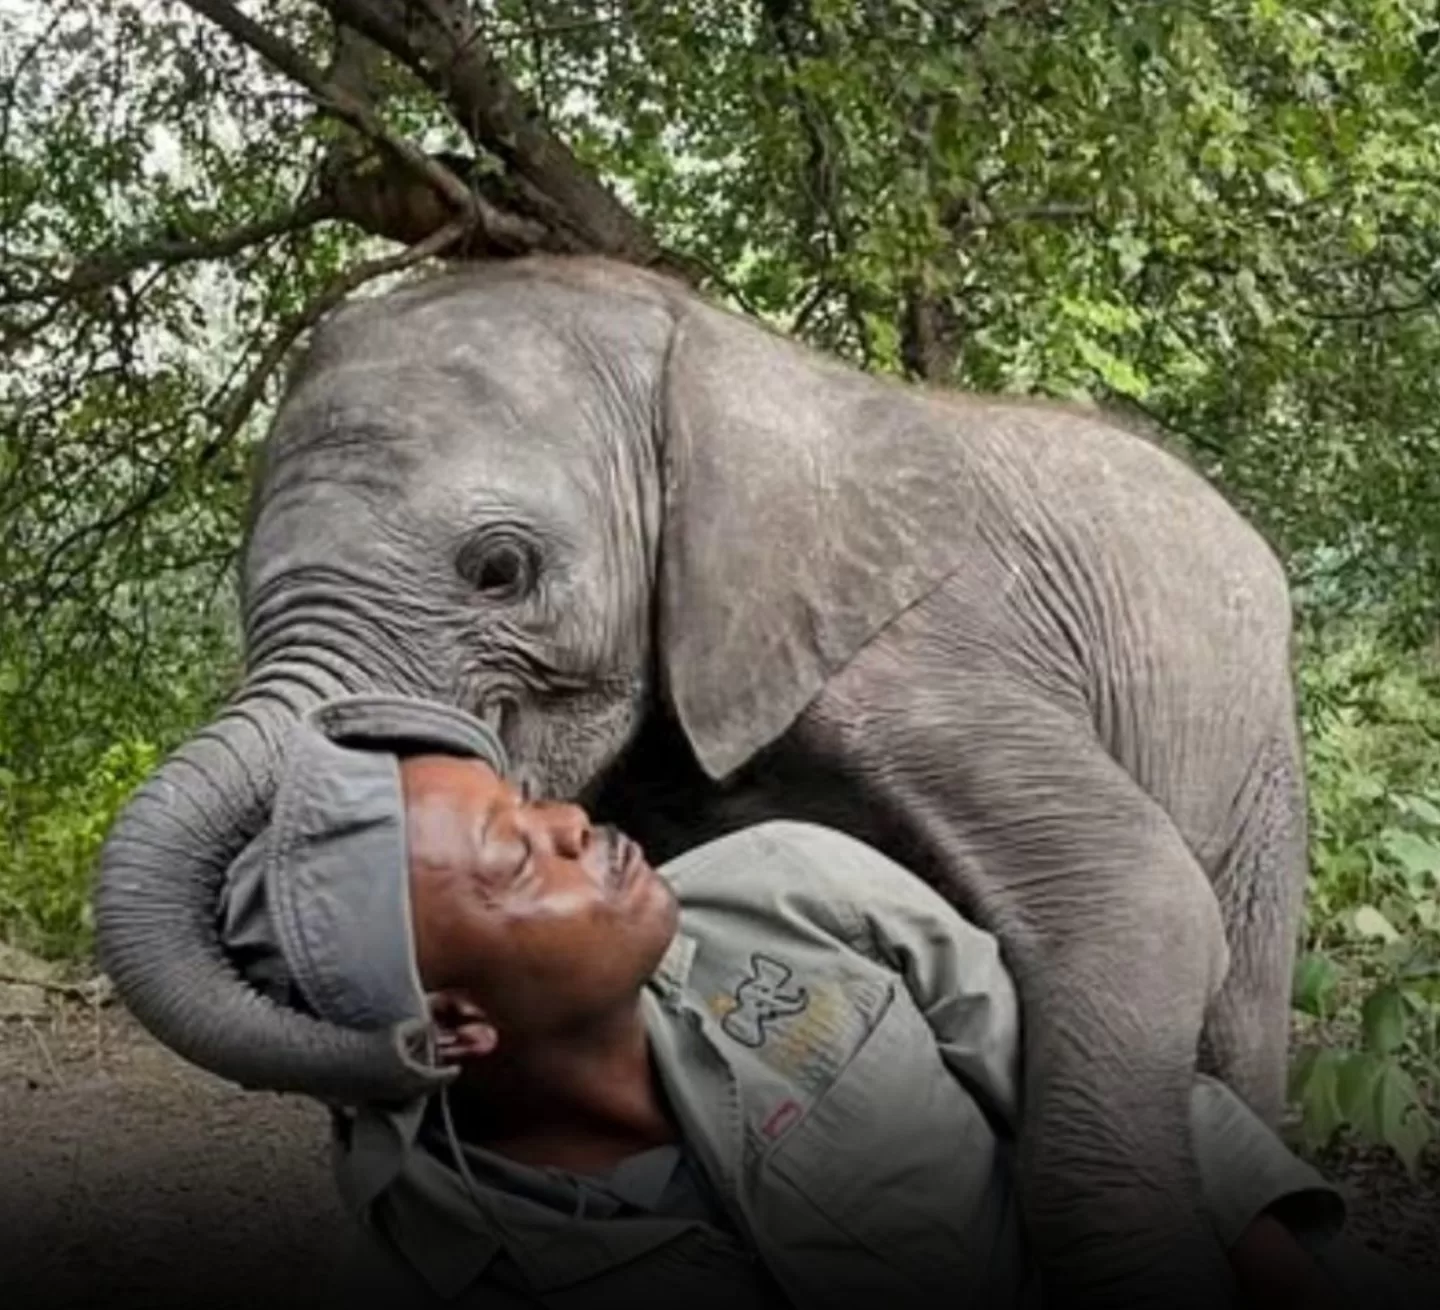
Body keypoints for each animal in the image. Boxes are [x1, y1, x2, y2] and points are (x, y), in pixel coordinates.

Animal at [95, 255, 1308, 1310]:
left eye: (500, 569)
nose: (414, 1040)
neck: (694, 347)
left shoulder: (925, 651)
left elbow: (1137, 894)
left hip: (1263, 741)